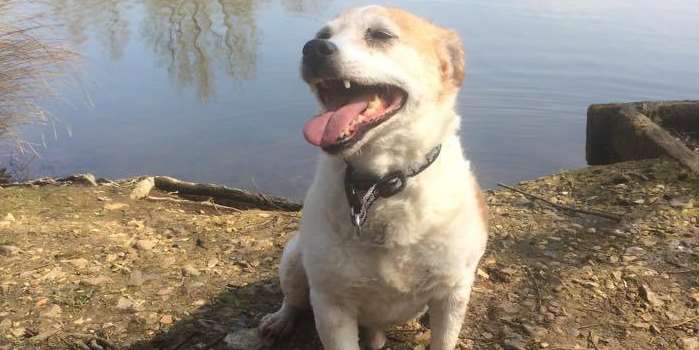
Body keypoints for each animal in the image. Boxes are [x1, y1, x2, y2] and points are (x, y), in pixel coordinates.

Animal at [260, 6, 490, 350]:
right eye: (323, 35)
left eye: (380, 35)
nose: (312, 48)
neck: (381, 184)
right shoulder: (331, 306)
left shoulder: (453, 294)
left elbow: (443, 337)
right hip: (293, 259)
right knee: (294, 298)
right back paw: (280, 320)